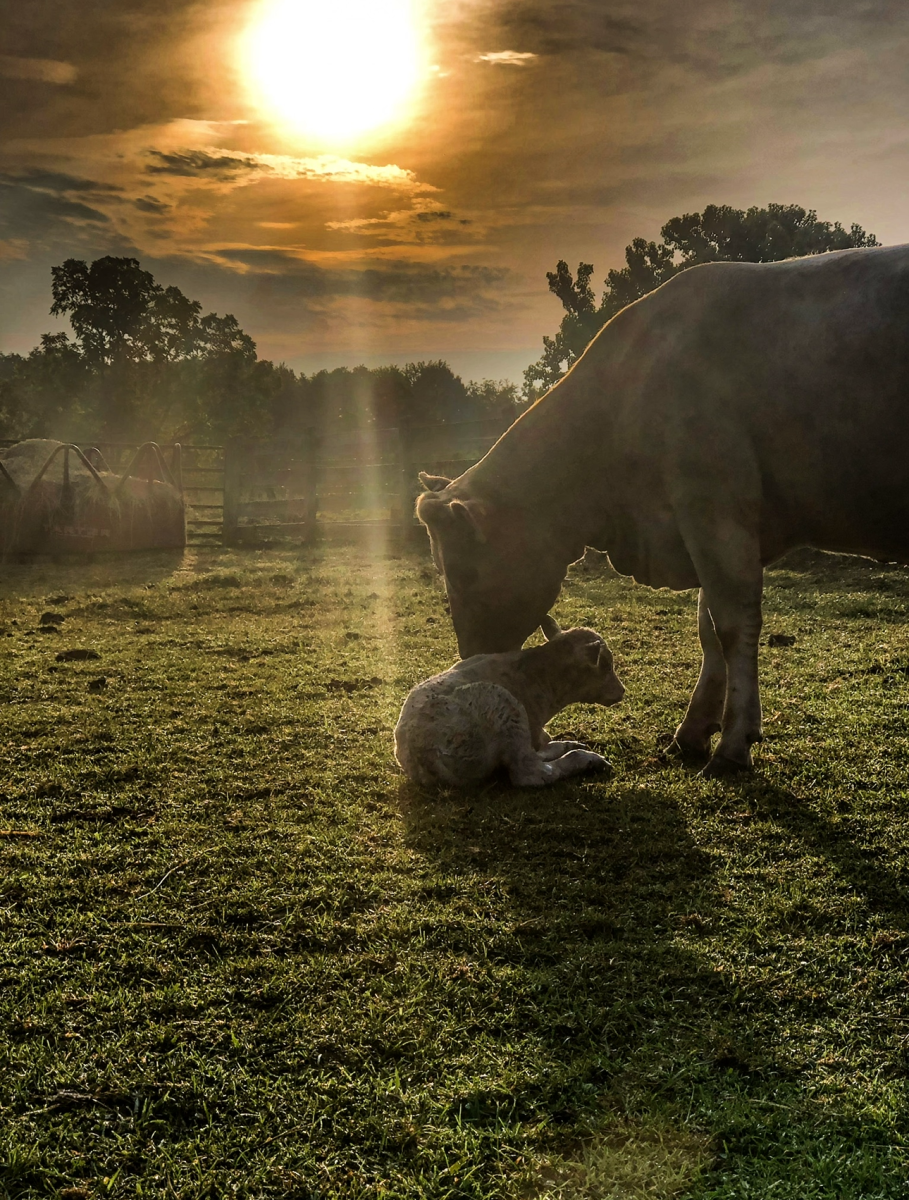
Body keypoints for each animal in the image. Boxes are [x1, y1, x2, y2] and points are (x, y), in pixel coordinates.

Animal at [395, 619, 623, 787]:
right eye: (606, 665)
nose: (622, 690)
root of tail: (417, 755)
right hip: (505, 709)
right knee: (530, 772)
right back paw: (588, 759)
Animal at [417, 243, 909, 777]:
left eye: (462, 575)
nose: (469, 663)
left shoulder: (713, 509)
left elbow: (732, 626)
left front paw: (732, 744)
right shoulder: (703, 526)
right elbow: (707, 629)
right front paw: (694, 731)